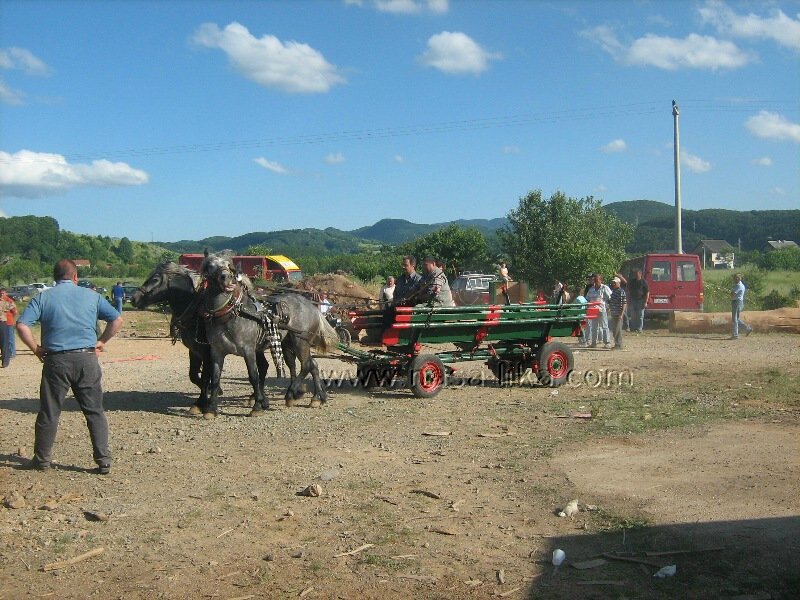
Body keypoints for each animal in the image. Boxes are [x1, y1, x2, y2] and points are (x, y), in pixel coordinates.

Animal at [201, 253, 339, 416]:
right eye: (210, 265)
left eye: (229, 265)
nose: (225, 277)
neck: (231, 313)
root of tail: (312, 307)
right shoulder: (217, 351)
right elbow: (216, 378)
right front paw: (211, 408)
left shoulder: (248, 350)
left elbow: (253, 376)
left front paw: (257, 405)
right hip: (290, 343)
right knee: (312, 365)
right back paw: (317, 397)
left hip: (300, 342)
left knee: (306, 365)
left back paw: (291, 394)